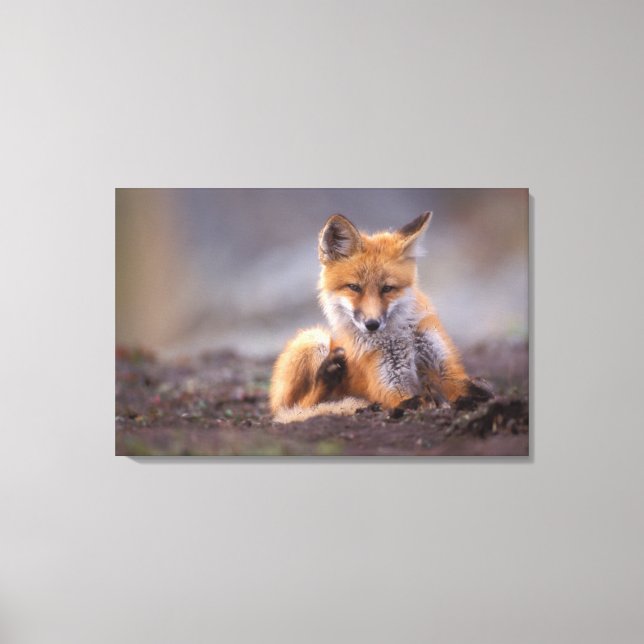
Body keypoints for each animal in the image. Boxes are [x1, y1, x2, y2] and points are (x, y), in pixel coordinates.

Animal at [270, 212, 492, 423]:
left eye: (387, 288)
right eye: (354, 287)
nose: (372, 324)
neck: (399, 336)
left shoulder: (445, 368)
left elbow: (471, 389)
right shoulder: (391, 386)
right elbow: (411, 401)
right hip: (313, 339)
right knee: (299, 406)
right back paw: (330, 378)